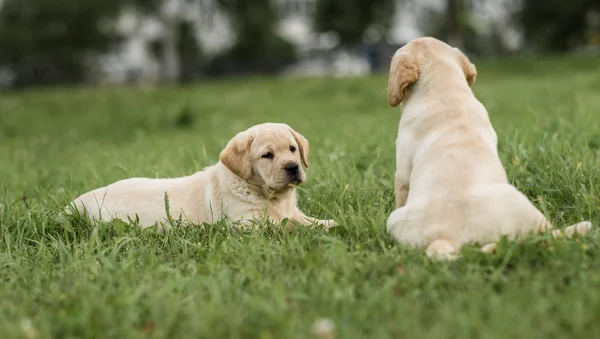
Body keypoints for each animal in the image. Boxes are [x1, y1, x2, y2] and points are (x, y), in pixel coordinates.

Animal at [70, 123, 336, 230]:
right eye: (267, 155)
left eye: (292, 149)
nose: (293, 167)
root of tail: (81, 200)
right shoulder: (248, 224)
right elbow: (289, 225)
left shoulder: (294, 212)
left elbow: (306, 220)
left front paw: (330, 223)